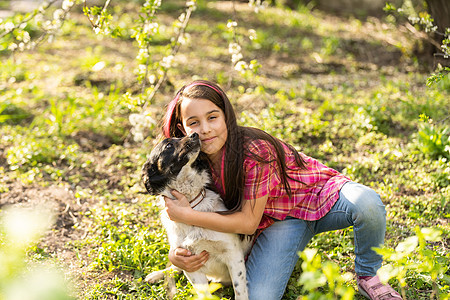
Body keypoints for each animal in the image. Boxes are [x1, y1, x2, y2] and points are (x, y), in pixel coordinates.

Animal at [142, 132, 251, 298]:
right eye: (168, 145)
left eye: (180, 136)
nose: (195, 134)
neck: (191, 206)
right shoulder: (189, 262)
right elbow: (204, 293)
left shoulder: (233, 255)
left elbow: (240, 291)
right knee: (175, 267)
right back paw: (157, 274)